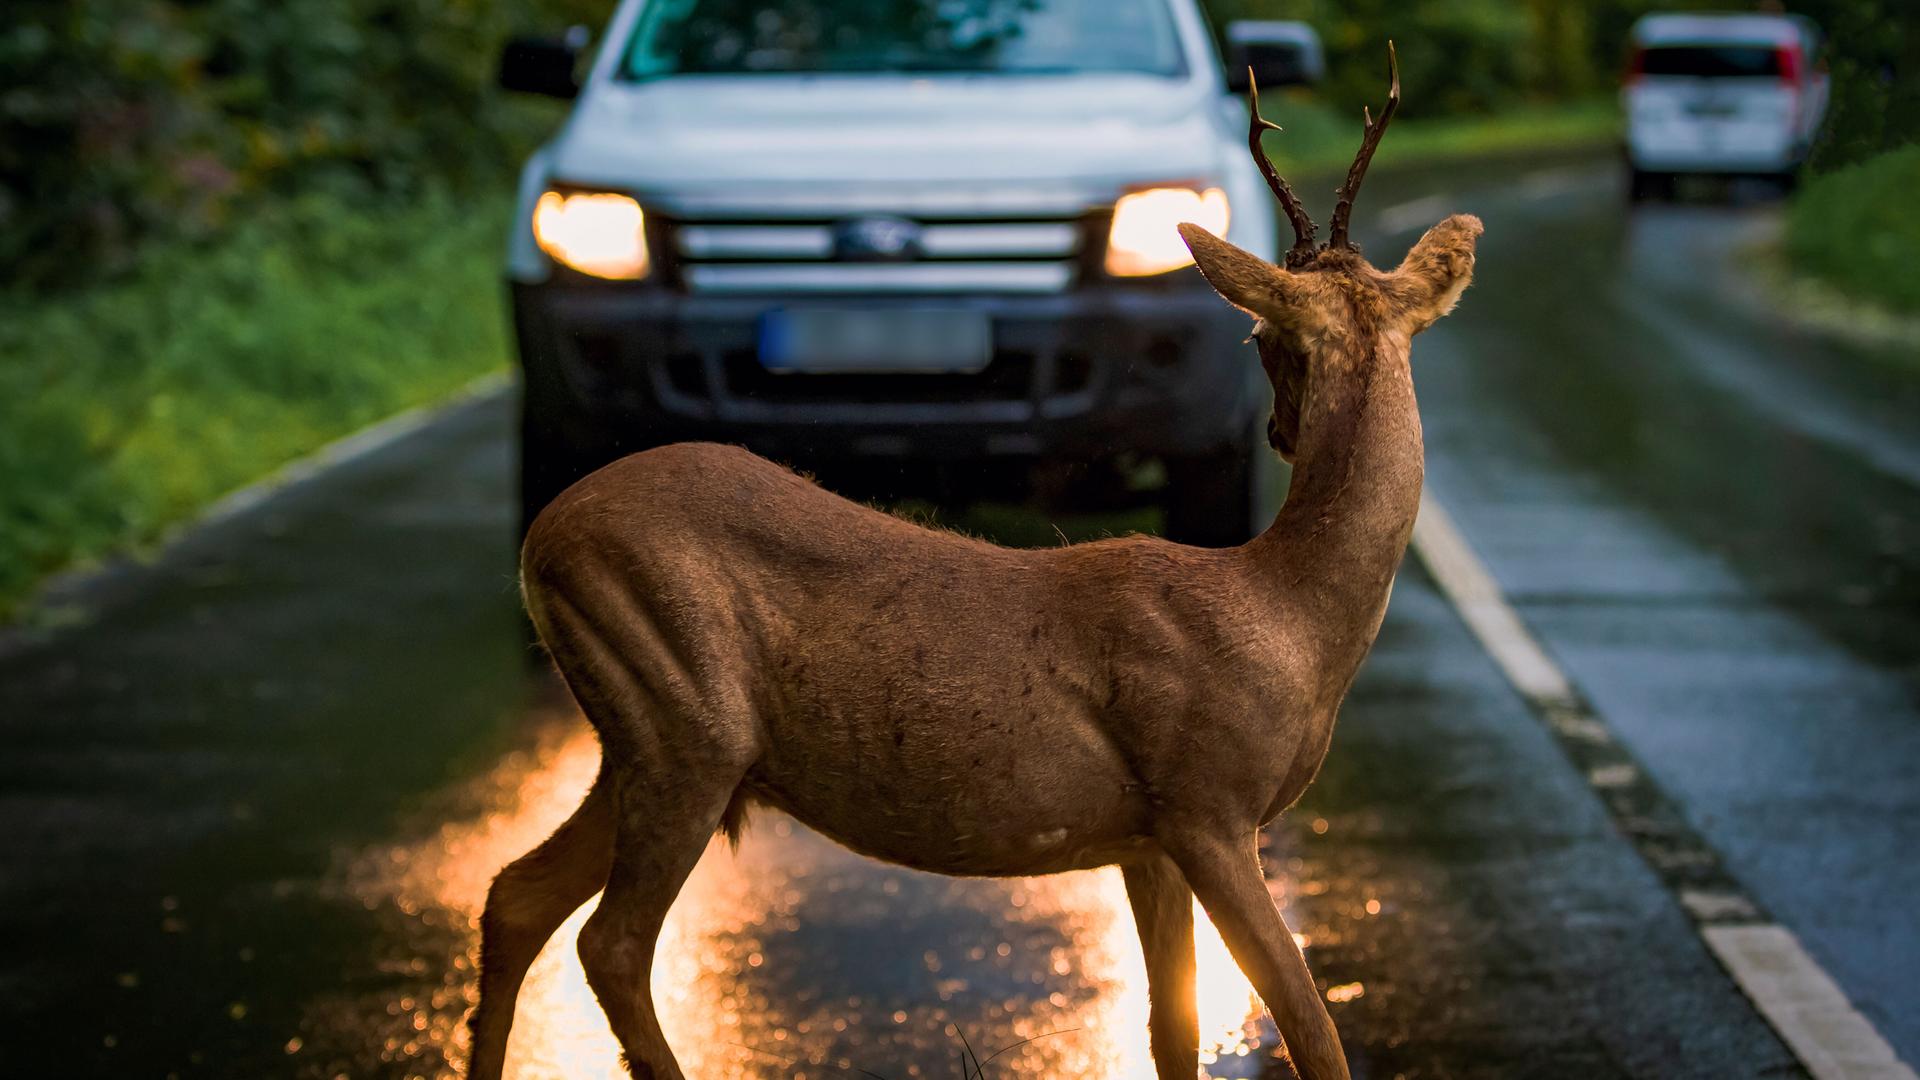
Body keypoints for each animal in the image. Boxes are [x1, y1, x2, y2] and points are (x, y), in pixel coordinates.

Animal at [468, 46, 1482, 1076]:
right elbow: (1313, 1030)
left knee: (515, 894)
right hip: (689, 722)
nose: (1278, 431)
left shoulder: (1147, 838)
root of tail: (543, 535)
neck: (1290, 615)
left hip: (636, 740)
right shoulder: (1206, 803)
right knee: (611, 941)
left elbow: (1175, 1031)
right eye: (1258, 336)